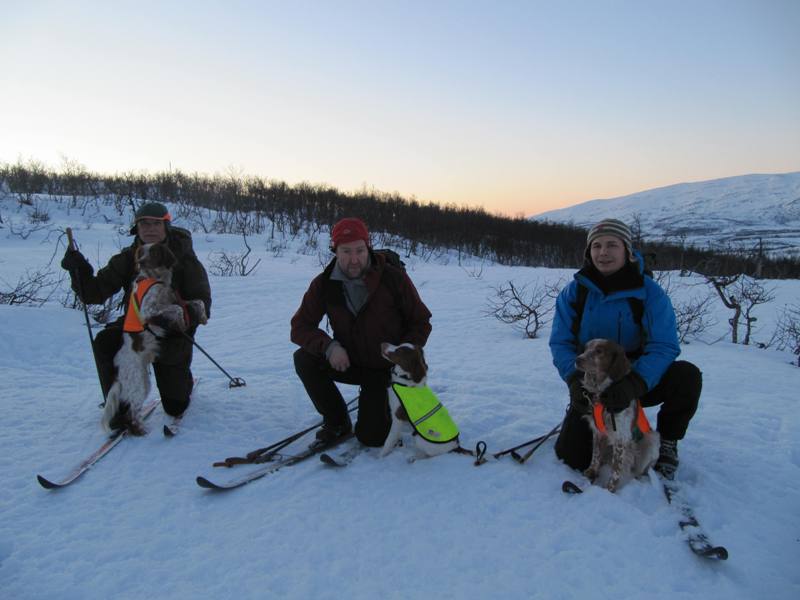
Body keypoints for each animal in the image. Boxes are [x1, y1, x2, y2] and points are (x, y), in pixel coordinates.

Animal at [580, 338, 660, 492]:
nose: (577, 359)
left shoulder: (621, 438)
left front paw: (609, 489)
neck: (602, 395)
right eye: (586, 348)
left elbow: (616, 470)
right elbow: (595, 455)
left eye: (599, 351)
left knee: (639, 470)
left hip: (652, 440)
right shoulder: (598, 432)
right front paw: (591, 472)